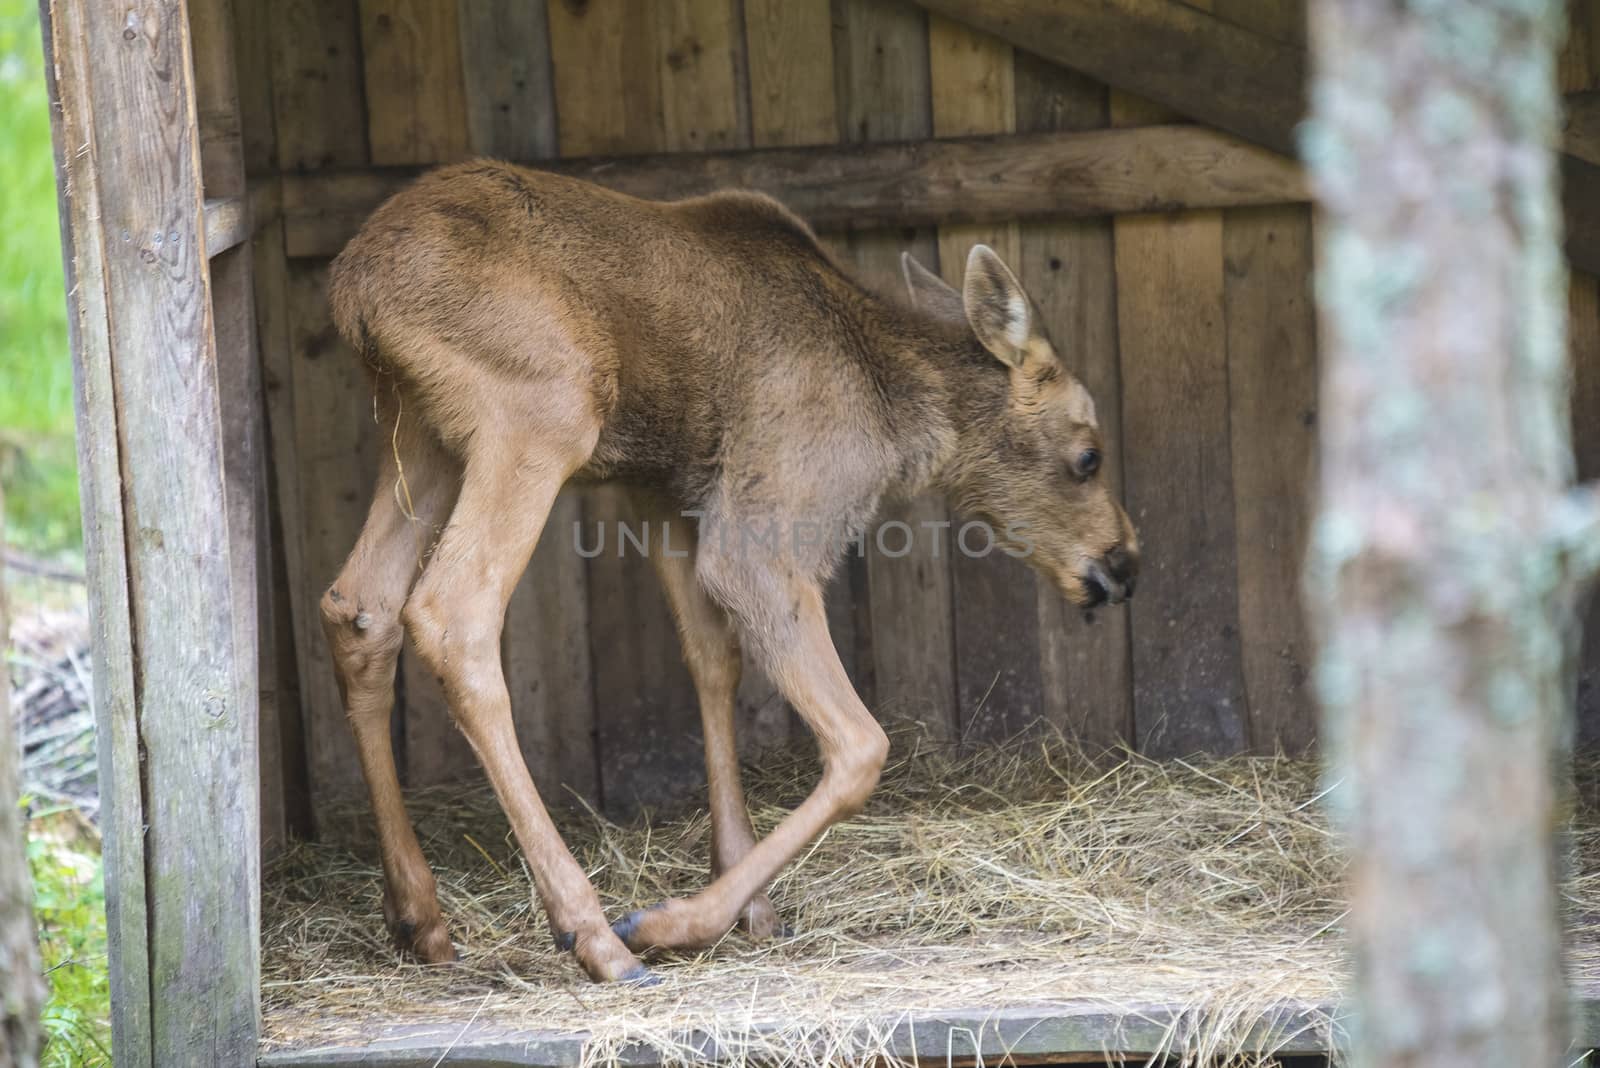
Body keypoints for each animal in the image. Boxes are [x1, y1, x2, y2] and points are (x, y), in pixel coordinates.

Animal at [321, 160, 1139, 984]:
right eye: (1088, 456)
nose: (1123, 563)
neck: (903, 417)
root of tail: (355, 290)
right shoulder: (759, 536)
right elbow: (859, 745)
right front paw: (679, 919)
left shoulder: (664, 497)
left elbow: (714, 663)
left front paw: (751, 902)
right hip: (537, 414)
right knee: (453, 614)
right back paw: (594, 932)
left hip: (422, 434)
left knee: (359, 606)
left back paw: (419, 917)